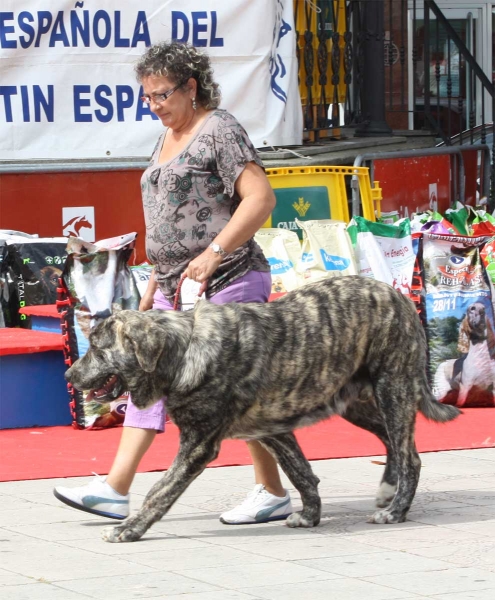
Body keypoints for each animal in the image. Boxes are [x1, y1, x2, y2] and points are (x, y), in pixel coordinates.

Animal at [65, 276, 462, 544]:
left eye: (98, 350)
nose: (69, 374)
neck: (184, 349)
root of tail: (400, 296)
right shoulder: (275, 429)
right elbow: (302, 474)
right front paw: (311, 516)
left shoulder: (197, 445)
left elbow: (160, 490)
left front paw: (130, 528)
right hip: (356, 402)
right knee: (393, 442)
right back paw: (387, 489)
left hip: (392, 389)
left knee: (411, 456)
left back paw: (395, 510)